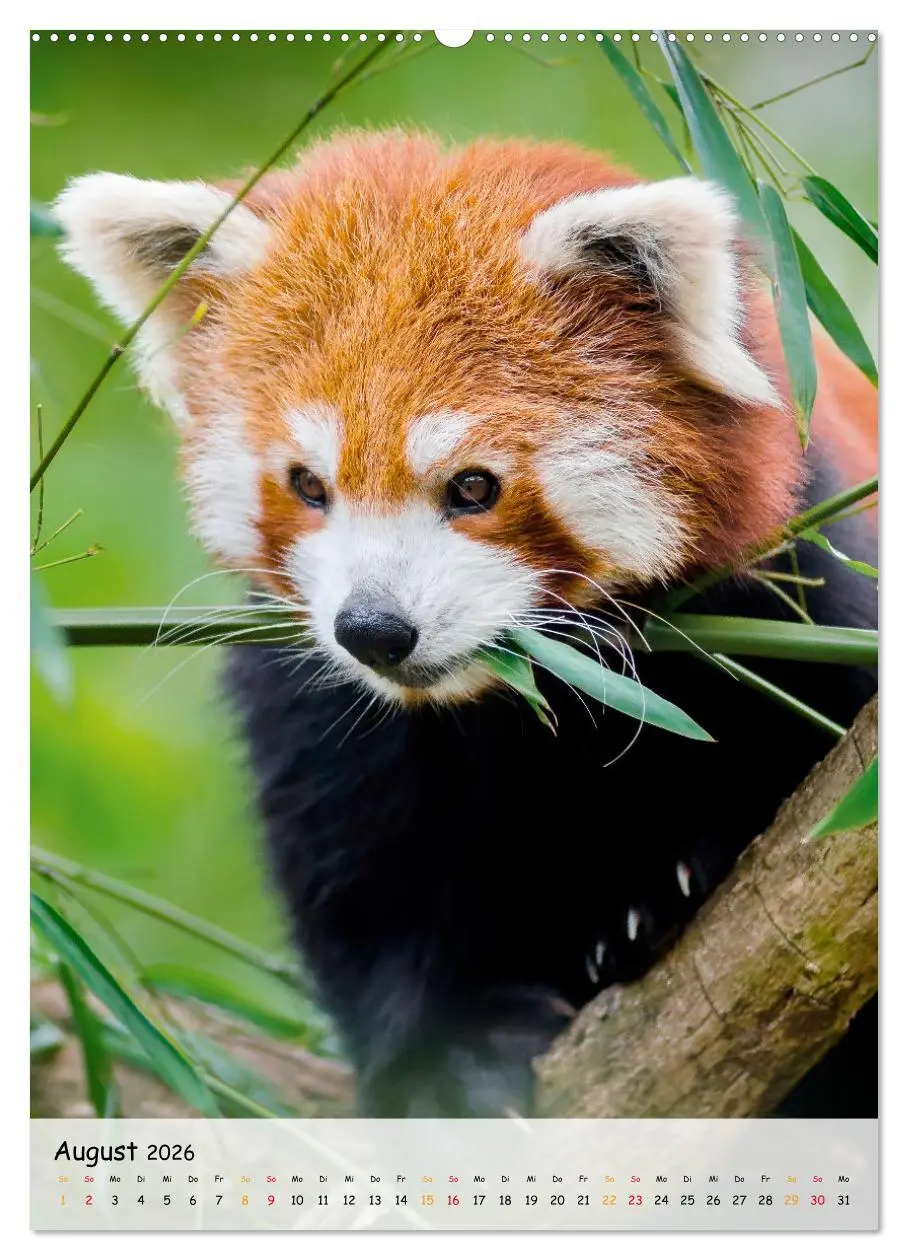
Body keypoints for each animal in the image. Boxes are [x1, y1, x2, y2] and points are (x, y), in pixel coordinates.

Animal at [54, 129, 878, 1119]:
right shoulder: (315, 695)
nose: (375, 629)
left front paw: (678, 880)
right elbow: (365, 881)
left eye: (474, 487)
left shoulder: (804, 592)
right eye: (308, 485)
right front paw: (441, 1064)